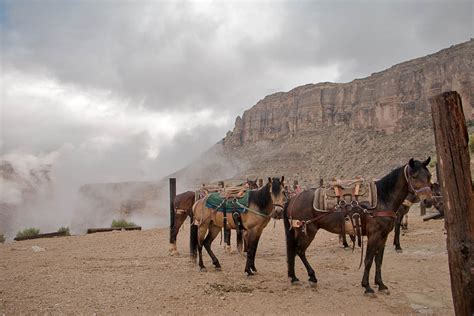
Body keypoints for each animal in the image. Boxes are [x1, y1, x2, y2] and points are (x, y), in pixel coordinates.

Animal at [282, 159, 434, 296]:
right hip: (308, 231)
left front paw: (381, 285)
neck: (383, 198)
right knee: (299, 250)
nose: (428, 201)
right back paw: (311, 276)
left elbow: (379, 260)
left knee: (293, 250)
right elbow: (368, 260)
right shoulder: (374, 235)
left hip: (299, 231)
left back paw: (294, 277)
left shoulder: (383, 236)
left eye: (429, 176)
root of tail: (293, 199)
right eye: (414, 176)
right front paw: (367, 287)